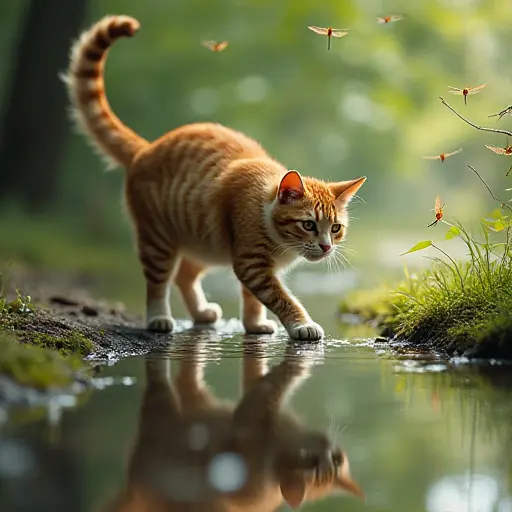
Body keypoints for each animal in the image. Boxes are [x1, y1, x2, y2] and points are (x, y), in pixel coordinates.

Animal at [64, 15, 366, 340]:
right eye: (309, 225)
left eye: (335, 228)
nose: (326, 247)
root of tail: (146, 148)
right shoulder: (251, 264)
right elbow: (280, 297)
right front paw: (302, 324)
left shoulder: (253, 264)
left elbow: (253, 299)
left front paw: (255, 324)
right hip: (159, 238)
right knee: (159, 281)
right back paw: (158, 318)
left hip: (203, 241)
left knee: (184, 276)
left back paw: (201, 312)